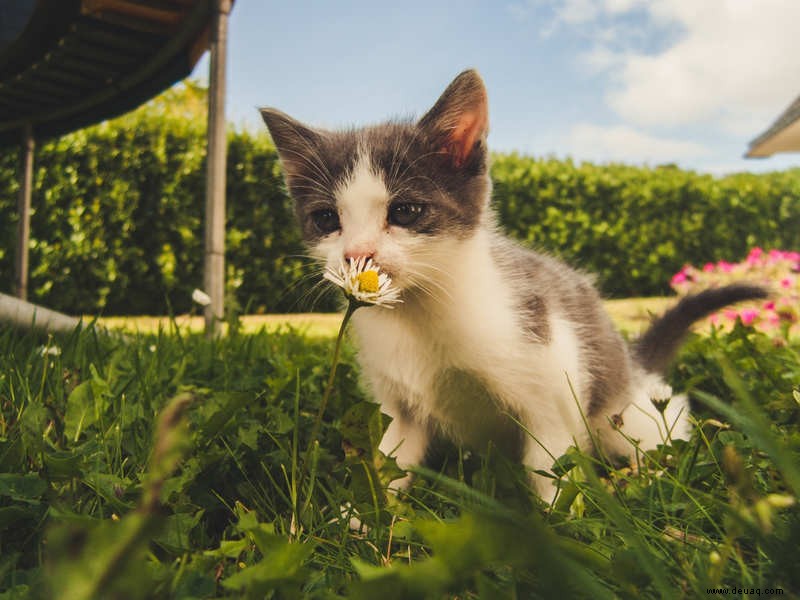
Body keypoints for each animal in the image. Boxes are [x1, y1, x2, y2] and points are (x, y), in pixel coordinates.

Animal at [260, 69, 764, 502]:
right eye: (327, 219)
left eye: (405, 212)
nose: (357, 254)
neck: (421, 313)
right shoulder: (400, 406)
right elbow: (390, 460)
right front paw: (358, 520)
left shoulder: (552, 382)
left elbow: (550, 469)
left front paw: (562, 530)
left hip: (623, 412)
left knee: (661, 423)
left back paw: (648, 474)